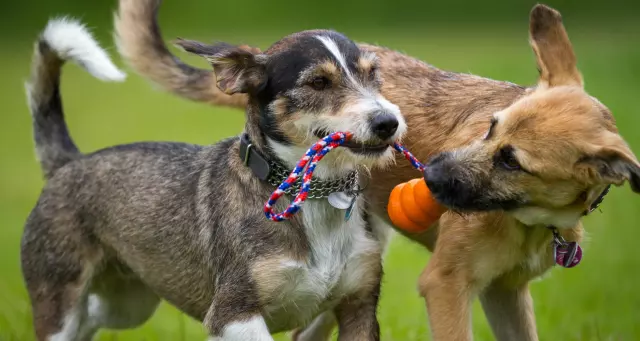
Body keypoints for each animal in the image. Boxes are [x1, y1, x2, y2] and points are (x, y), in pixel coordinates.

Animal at [22, 16, 408, 340]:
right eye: (318, 82)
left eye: (373, 75)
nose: (388, 122)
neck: (311, 194)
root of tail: (69, 162)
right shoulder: (232, 315)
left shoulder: (359, 307)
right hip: (60, 298)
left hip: (127, 304)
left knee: (92, 317)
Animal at [116, 1, 640, 338]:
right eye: (490, 127)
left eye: (513, 161)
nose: (430, 176)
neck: (530, 219)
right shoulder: (446, 285)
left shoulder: (506, 293)